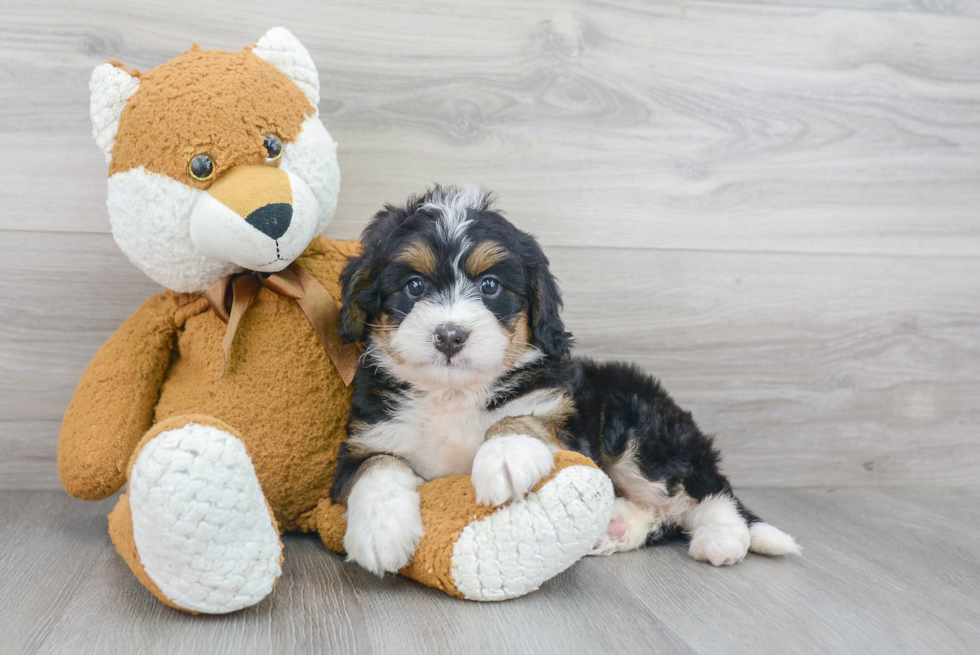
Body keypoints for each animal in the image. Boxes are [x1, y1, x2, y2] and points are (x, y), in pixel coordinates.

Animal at [334, 183, 800, 576]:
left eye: (490, 286)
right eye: (414, 286)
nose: (450, 335)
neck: (453, 393)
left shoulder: (560, 415)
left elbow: (521, 418)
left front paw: (505, 454)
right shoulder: (367, 437)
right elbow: (375, 467)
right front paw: (380, 530)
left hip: (636, 426)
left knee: (704, 489)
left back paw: (723, 537)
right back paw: (616, 524)